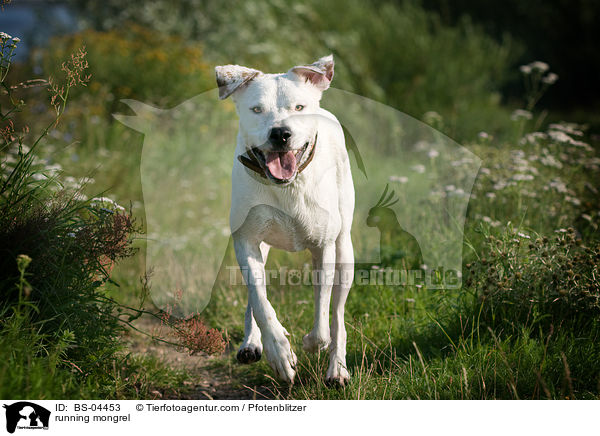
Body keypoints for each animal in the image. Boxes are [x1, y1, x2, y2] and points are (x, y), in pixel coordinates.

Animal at [216, 54, 354, 384]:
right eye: (256, 109)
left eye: (299, 108)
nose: (280, 133)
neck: (286, 186)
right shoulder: (246, 241)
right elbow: (260, 300)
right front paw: (279, 352)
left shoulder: (324, 247)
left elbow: (323, 314)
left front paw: (312, 343)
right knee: (255, 297)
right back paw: (252, 344)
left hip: (345, 249)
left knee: (338, 313)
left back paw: (337, 369)